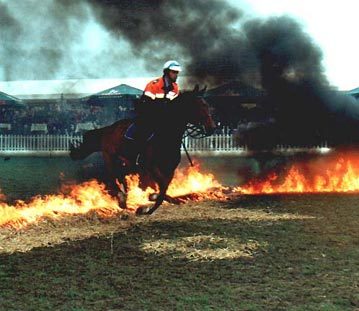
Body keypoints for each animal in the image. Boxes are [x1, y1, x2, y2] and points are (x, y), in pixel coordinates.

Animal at [70, 86, 217, 216]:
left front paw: (151, 199)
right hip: (109, 156)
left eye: (207, 105)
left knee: (121, 176)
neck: (166, 135)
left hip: (126, 161)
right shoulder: (151, 167)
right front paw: (146, 207)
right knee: (112, 177)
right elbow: (162, 188)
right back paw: (122, 198)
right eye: (199, 106)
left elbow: (164, 188)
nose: (212, 128)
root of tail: (109, 129)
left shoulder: (169, 169)